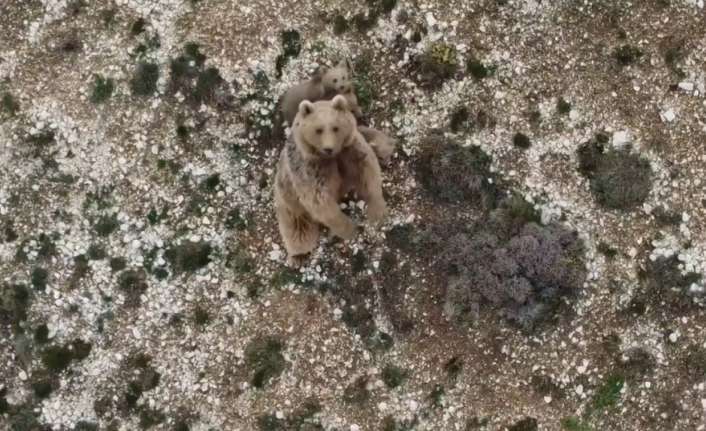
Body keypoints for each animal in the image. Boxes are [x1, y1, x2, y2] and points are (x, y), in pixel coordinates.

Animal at [274, 95, 384, 264]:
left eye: (335, 127)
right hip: (289, 200)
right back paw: (298, 255)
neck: (330, 158)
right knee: (297, 227)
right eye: (318, 129)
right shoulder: (311, 172)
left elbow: (368, 172)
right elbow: (321, 202)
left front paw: (377, 212)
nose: (328, 148)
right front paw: (349, 229)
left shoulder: (351, 151)